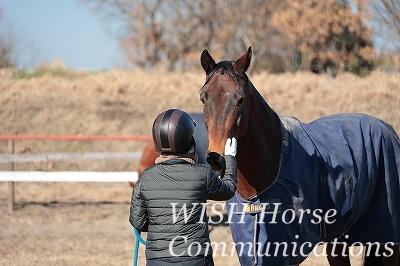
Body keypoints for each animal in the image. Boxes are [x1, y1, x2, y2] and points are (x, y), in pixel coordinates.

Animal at [198, 46, 398, 264]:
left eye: (240, 99)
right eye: (203, 98)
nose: (216, 158)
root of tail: (388, 129)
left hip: (388, 239)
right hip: (339, 239)